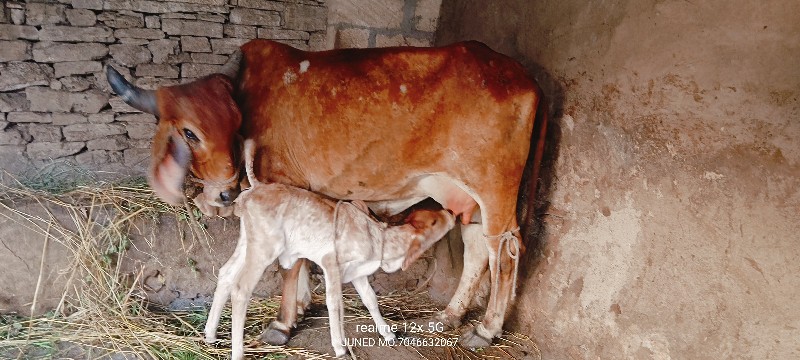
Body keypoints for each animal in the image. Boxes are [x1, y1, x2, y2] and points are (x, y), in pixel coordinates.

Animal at [109, 40, 548, 348]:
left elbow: (288, 265)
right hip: (465, 197)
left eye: (235, 121)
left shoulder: (284, 186)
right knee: (476, 250)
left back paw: (485, 331)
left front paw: (282, 323)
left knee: (504, 254)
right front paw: (302, 305)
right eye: (189, 131)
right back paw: (449, 316)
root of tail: (523, 76)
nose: (226, 193)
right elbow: (300, 256)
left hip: (494, 190)